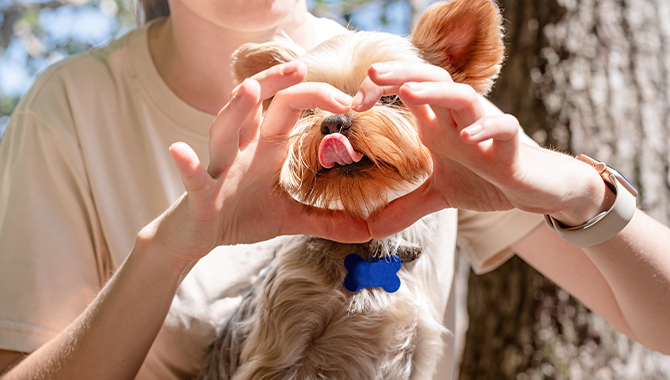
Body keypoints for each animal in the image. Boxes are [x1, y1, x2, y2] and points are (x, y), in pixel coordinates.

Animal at [198, 1, 504, 378]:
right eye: (308, 107)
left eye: (391, 96)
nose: (334, 122)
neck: (372, 249)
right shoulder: (280, 343)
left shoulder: (418, 351)